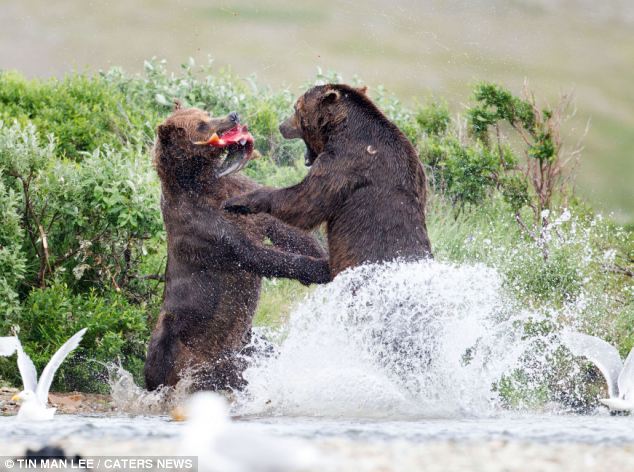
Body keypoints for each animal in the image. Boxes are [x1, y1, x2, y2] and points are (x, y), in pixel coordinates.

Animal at [145, 105, 328, 392]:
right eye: (201, 125)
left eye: (205, 112)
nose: (232, 116)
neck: (201, 181)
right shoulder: (203, 226)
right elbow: (252, 253)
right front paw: (321, 269)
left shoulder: (240, 191)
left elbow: (283, 229)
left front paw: (324, 255)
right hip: (179, 340)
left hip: (245, 343)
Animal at [221, 84, 430, 276]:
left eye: (295, 108)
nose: (282, 126)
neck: (341, 128)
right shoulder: (415, 167)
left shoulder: (342, 164)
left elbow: (305, 202)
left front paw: (238, 202)